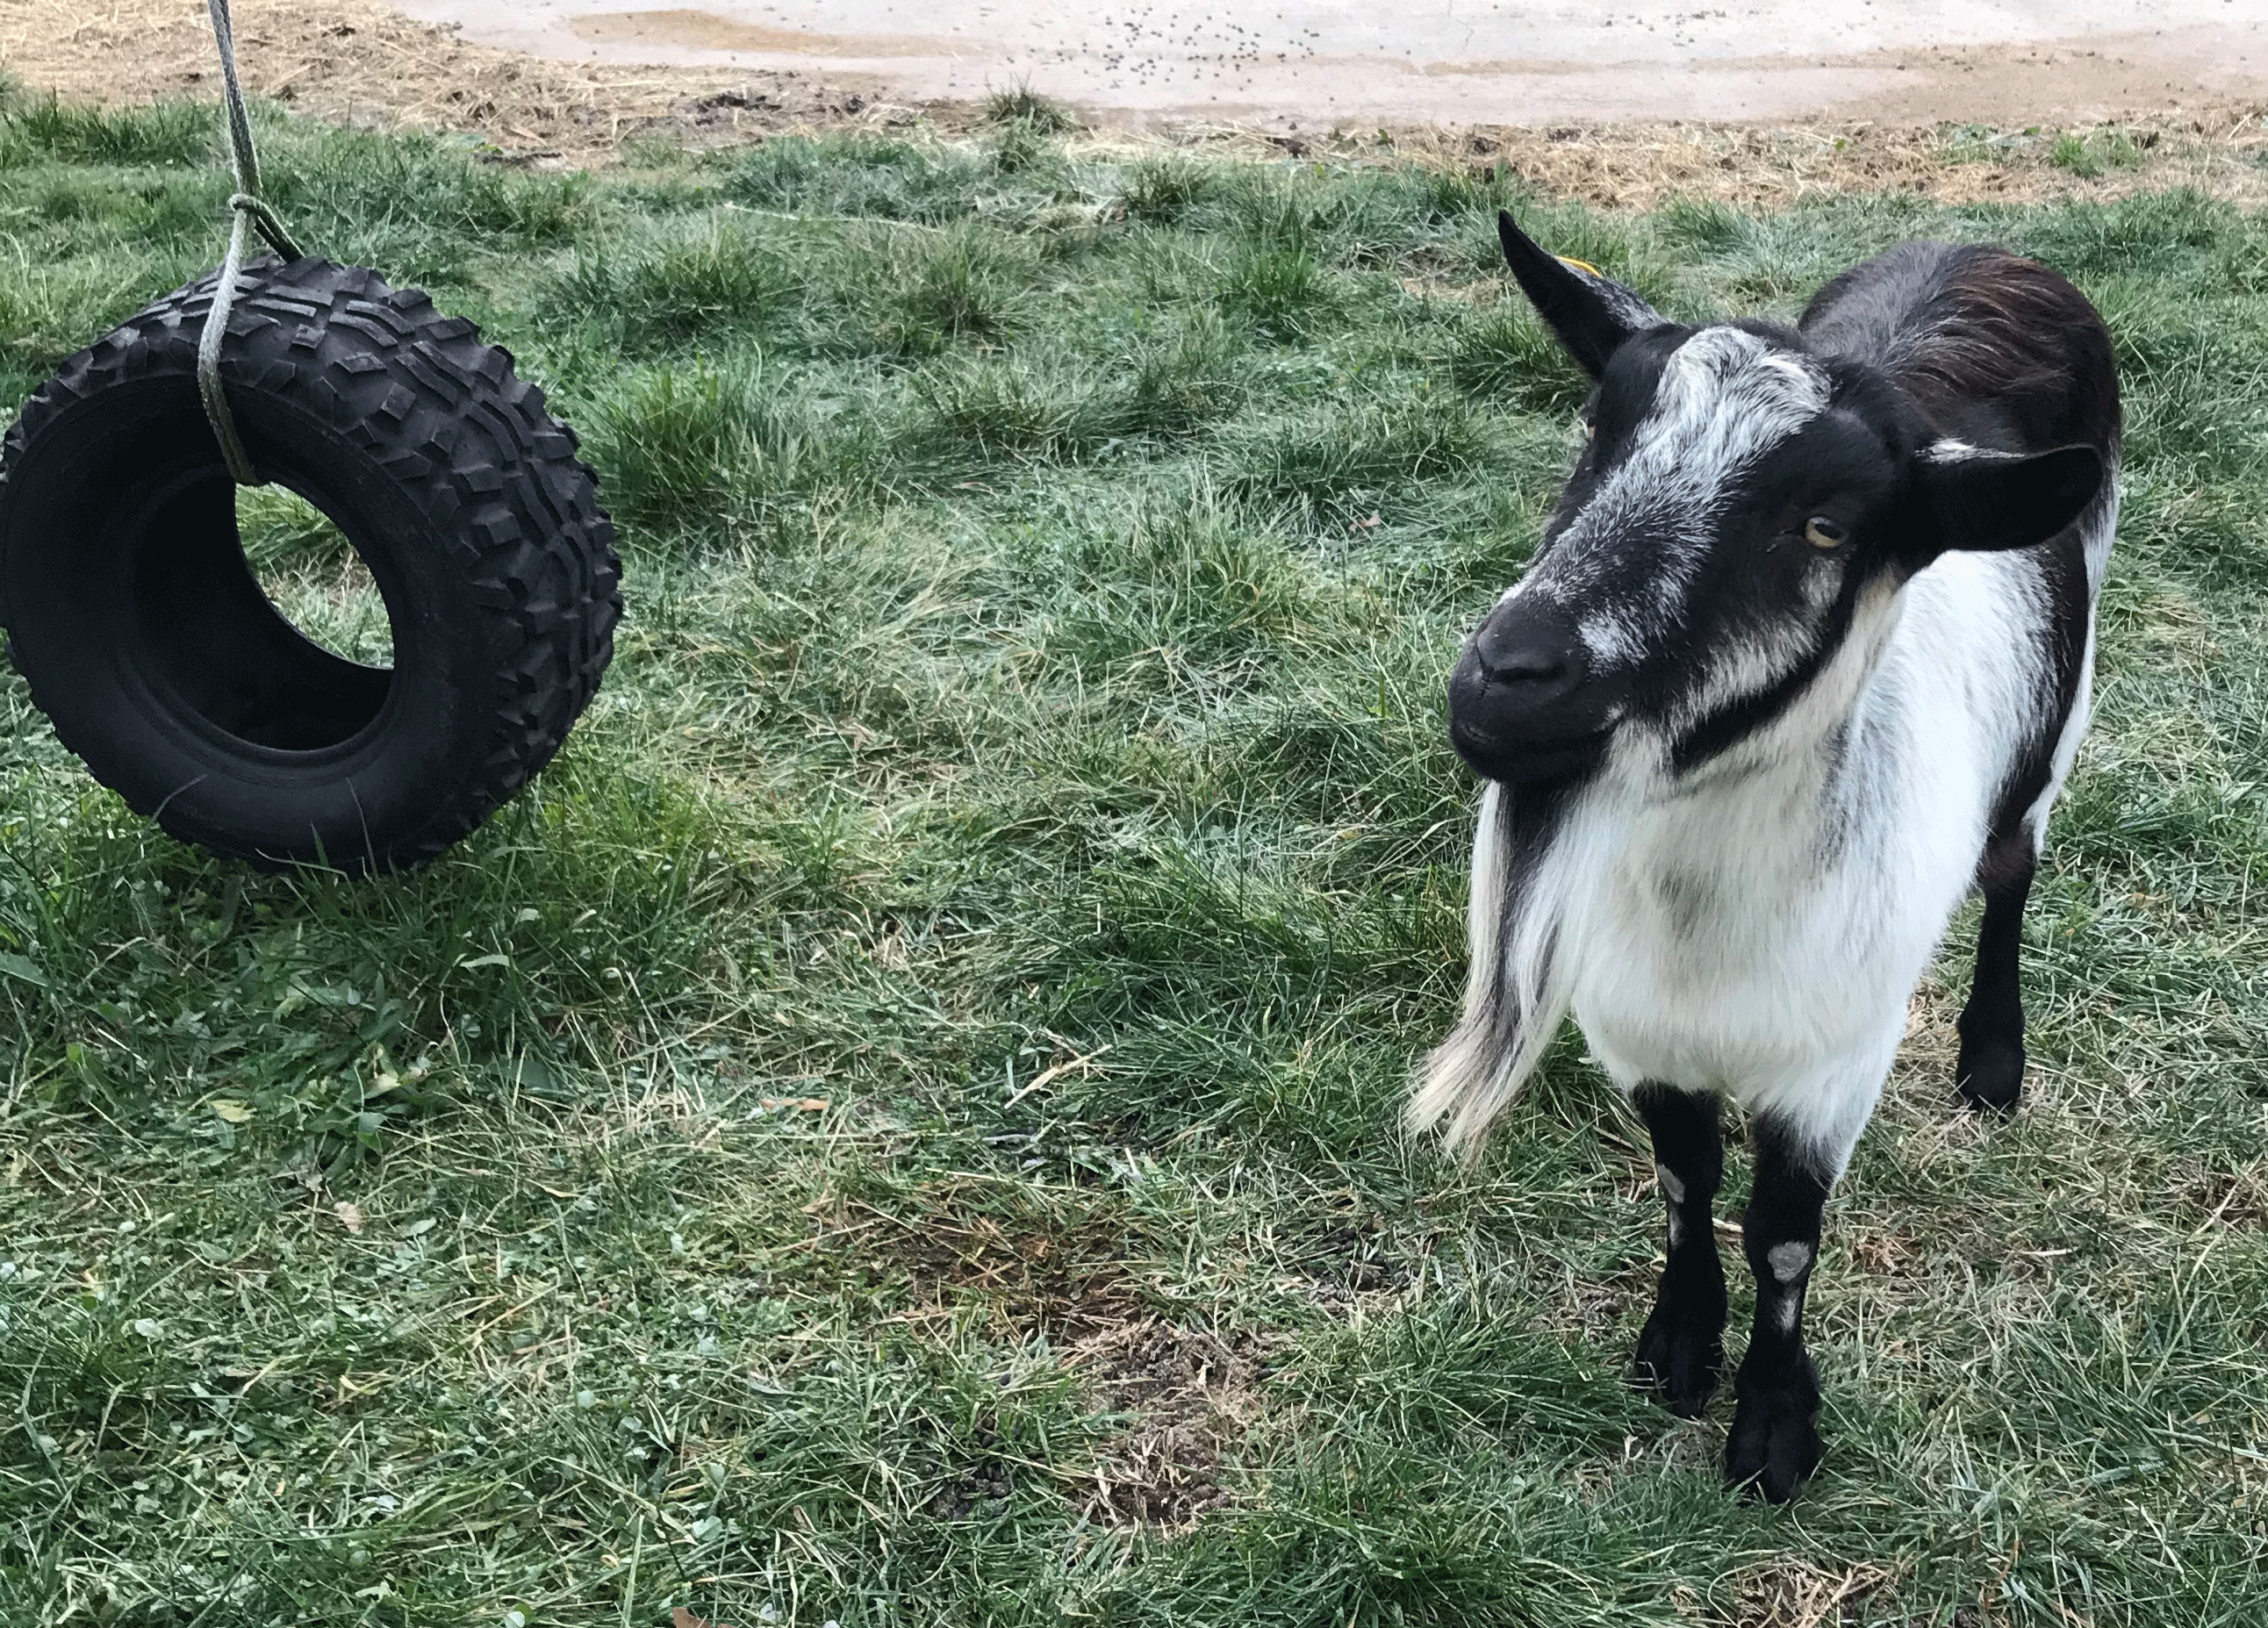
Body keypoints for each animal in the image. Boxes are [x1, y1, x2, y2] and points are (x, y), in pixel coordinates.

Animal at [1415, 212, 2122, 1505]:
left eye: (1825, 526)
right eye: (1595, 435)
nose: (1508, 679)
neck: (1710, 921)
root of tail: (1987, 248)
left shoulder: (1835, 1061)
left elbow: (1786, 1234)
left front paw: (1774, 1429)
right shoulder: (1638, 1032)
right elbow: (1685, 1179)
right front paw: (1675, 1346)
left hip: (2061, 716)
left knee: (2013, 870)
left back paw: (1993, 1060)